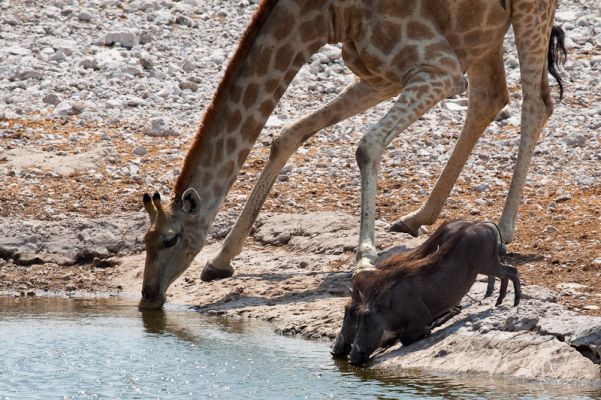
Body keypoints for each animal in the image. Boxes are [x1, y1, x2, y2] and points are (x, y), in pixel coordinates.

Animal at [138, 0, 564, 310]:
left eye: (170, 240)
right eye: (145, 240)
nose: (148, 295)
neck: (325, 16)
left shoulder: (437, 69)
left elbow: (366, 145)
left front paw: (364, 261)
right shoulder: (382, 76)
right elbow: (288, 134)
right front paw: (220, 260)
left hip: (527, 11)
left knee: (536, 104)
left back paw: (503, 229)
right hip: (482, 33)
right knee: (490, 97)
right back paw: (417, 217)